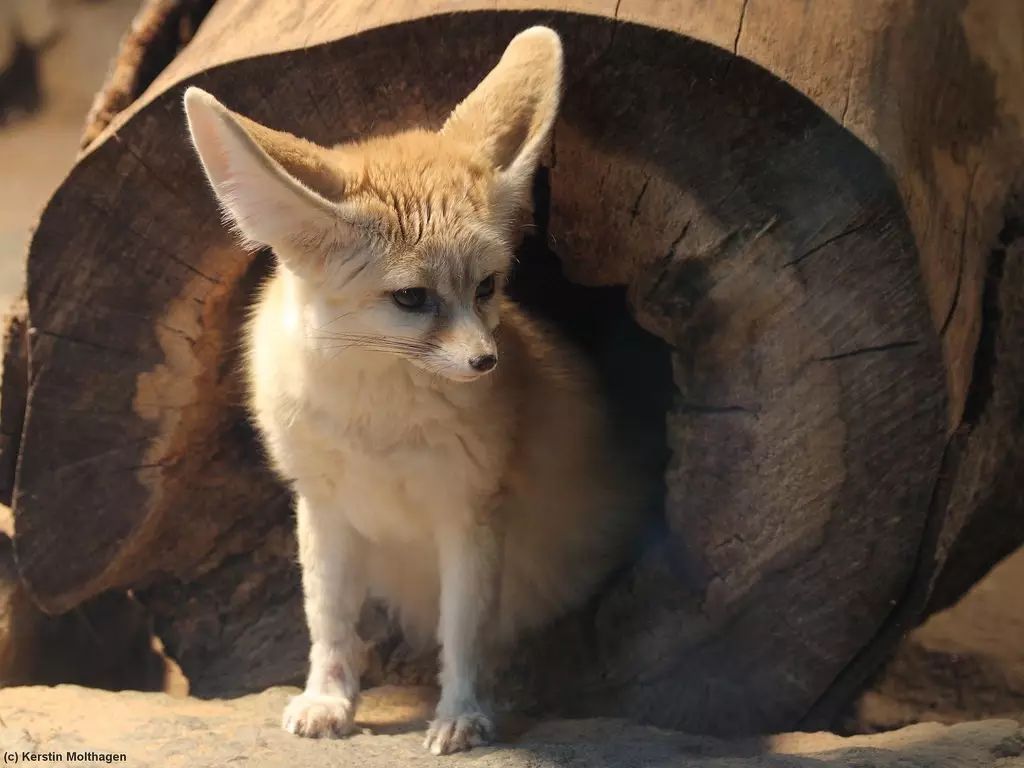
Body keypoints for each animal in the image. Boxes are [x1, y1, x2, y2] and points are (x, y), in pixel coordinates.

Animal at [186, 27, 638, 753]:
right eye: (411, 298)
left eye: (487, 287)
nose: (485, 361)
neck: (378, 425)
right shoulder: (324, 510)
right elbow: (329, 622)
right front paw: (328, 700)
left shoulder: (470, 515)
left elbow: (466, 632)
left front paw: (463, 714)